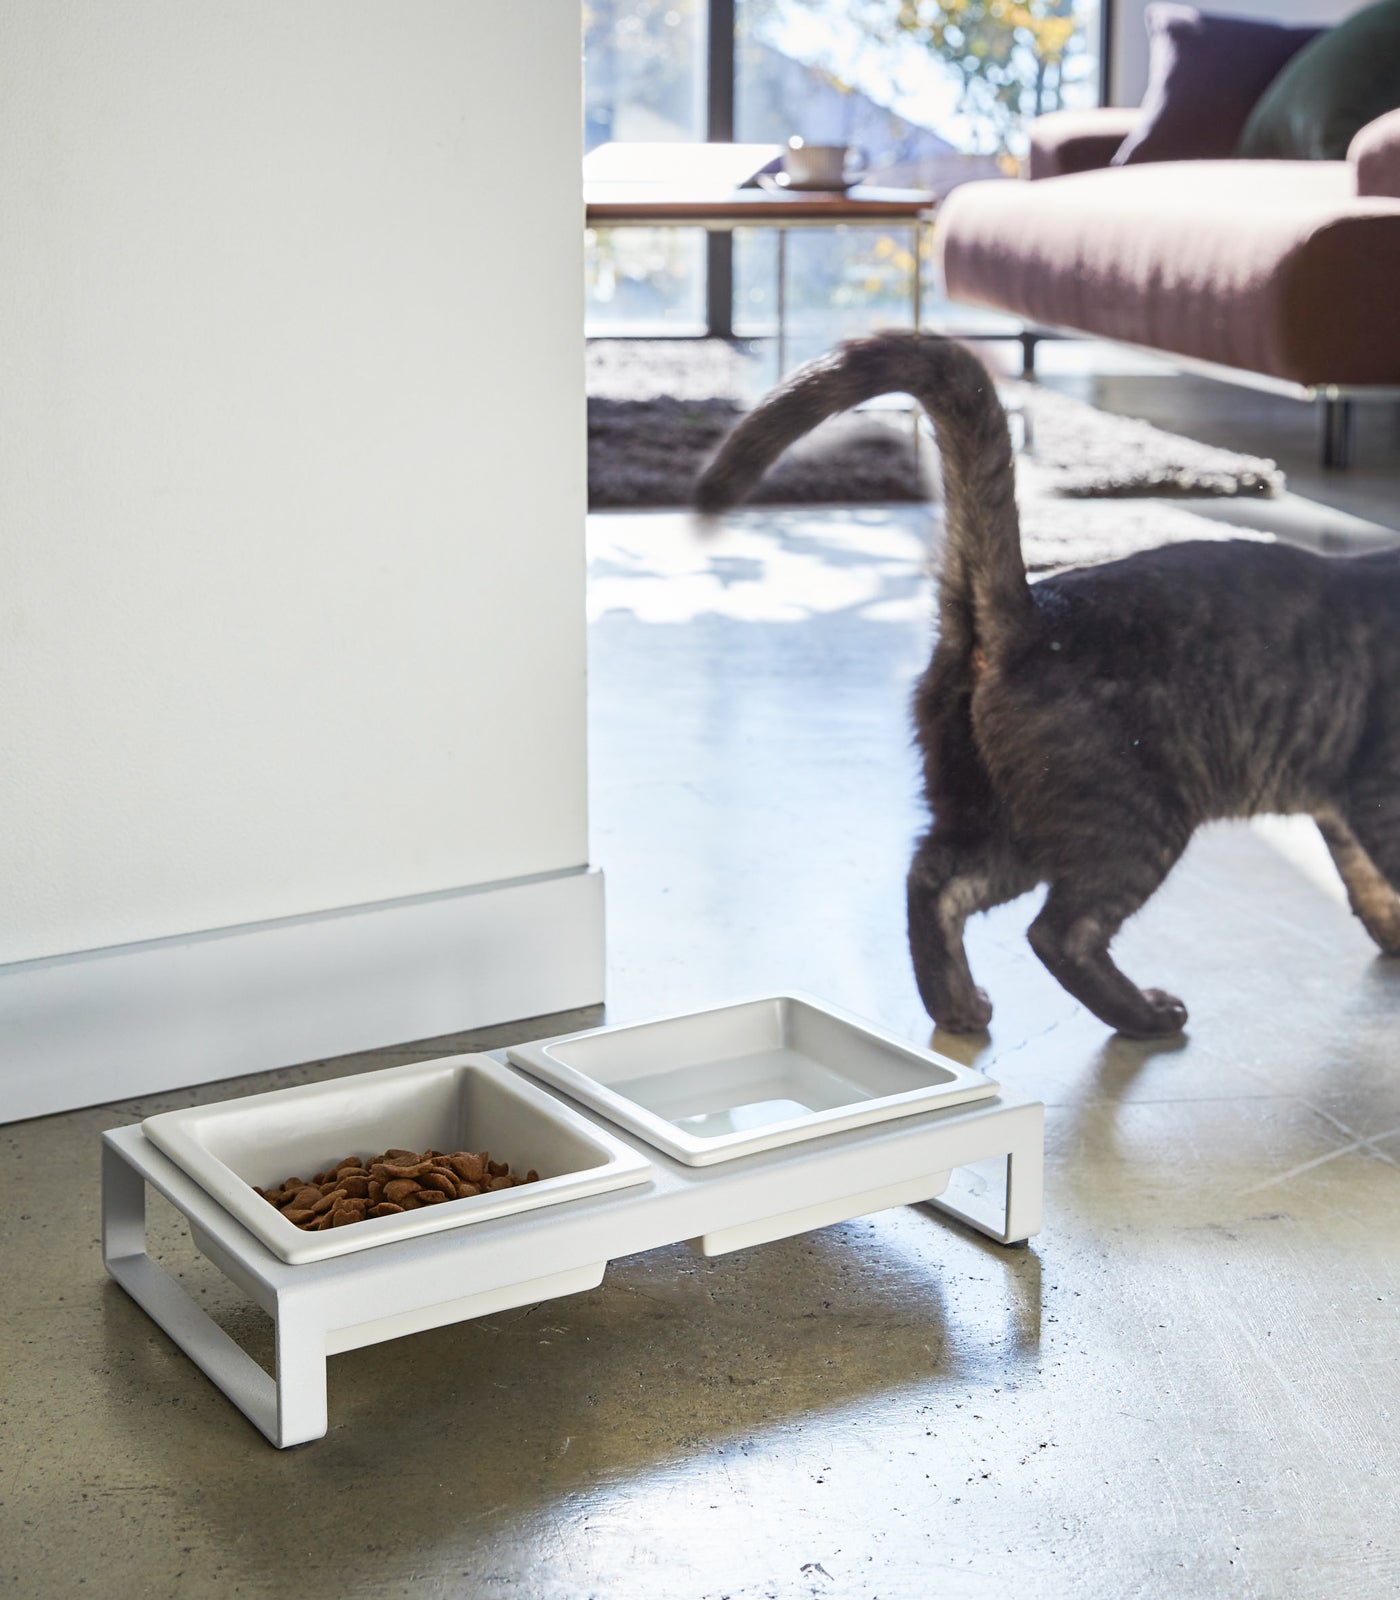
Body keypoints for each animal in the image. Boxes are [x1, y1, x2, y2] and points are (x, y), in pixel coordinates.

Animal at [691, 334, 1400, 1036]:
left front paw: (1391, 934)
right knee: (1058, 932)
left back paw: (957, 1006)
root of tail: (1032, 613)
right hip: (1134, 821)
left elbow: (1365, 878)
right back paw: (1145, 1016)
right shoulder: (1375, 795)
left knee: (934, 879)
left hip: (1000, 818)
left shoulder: (1343, 803)